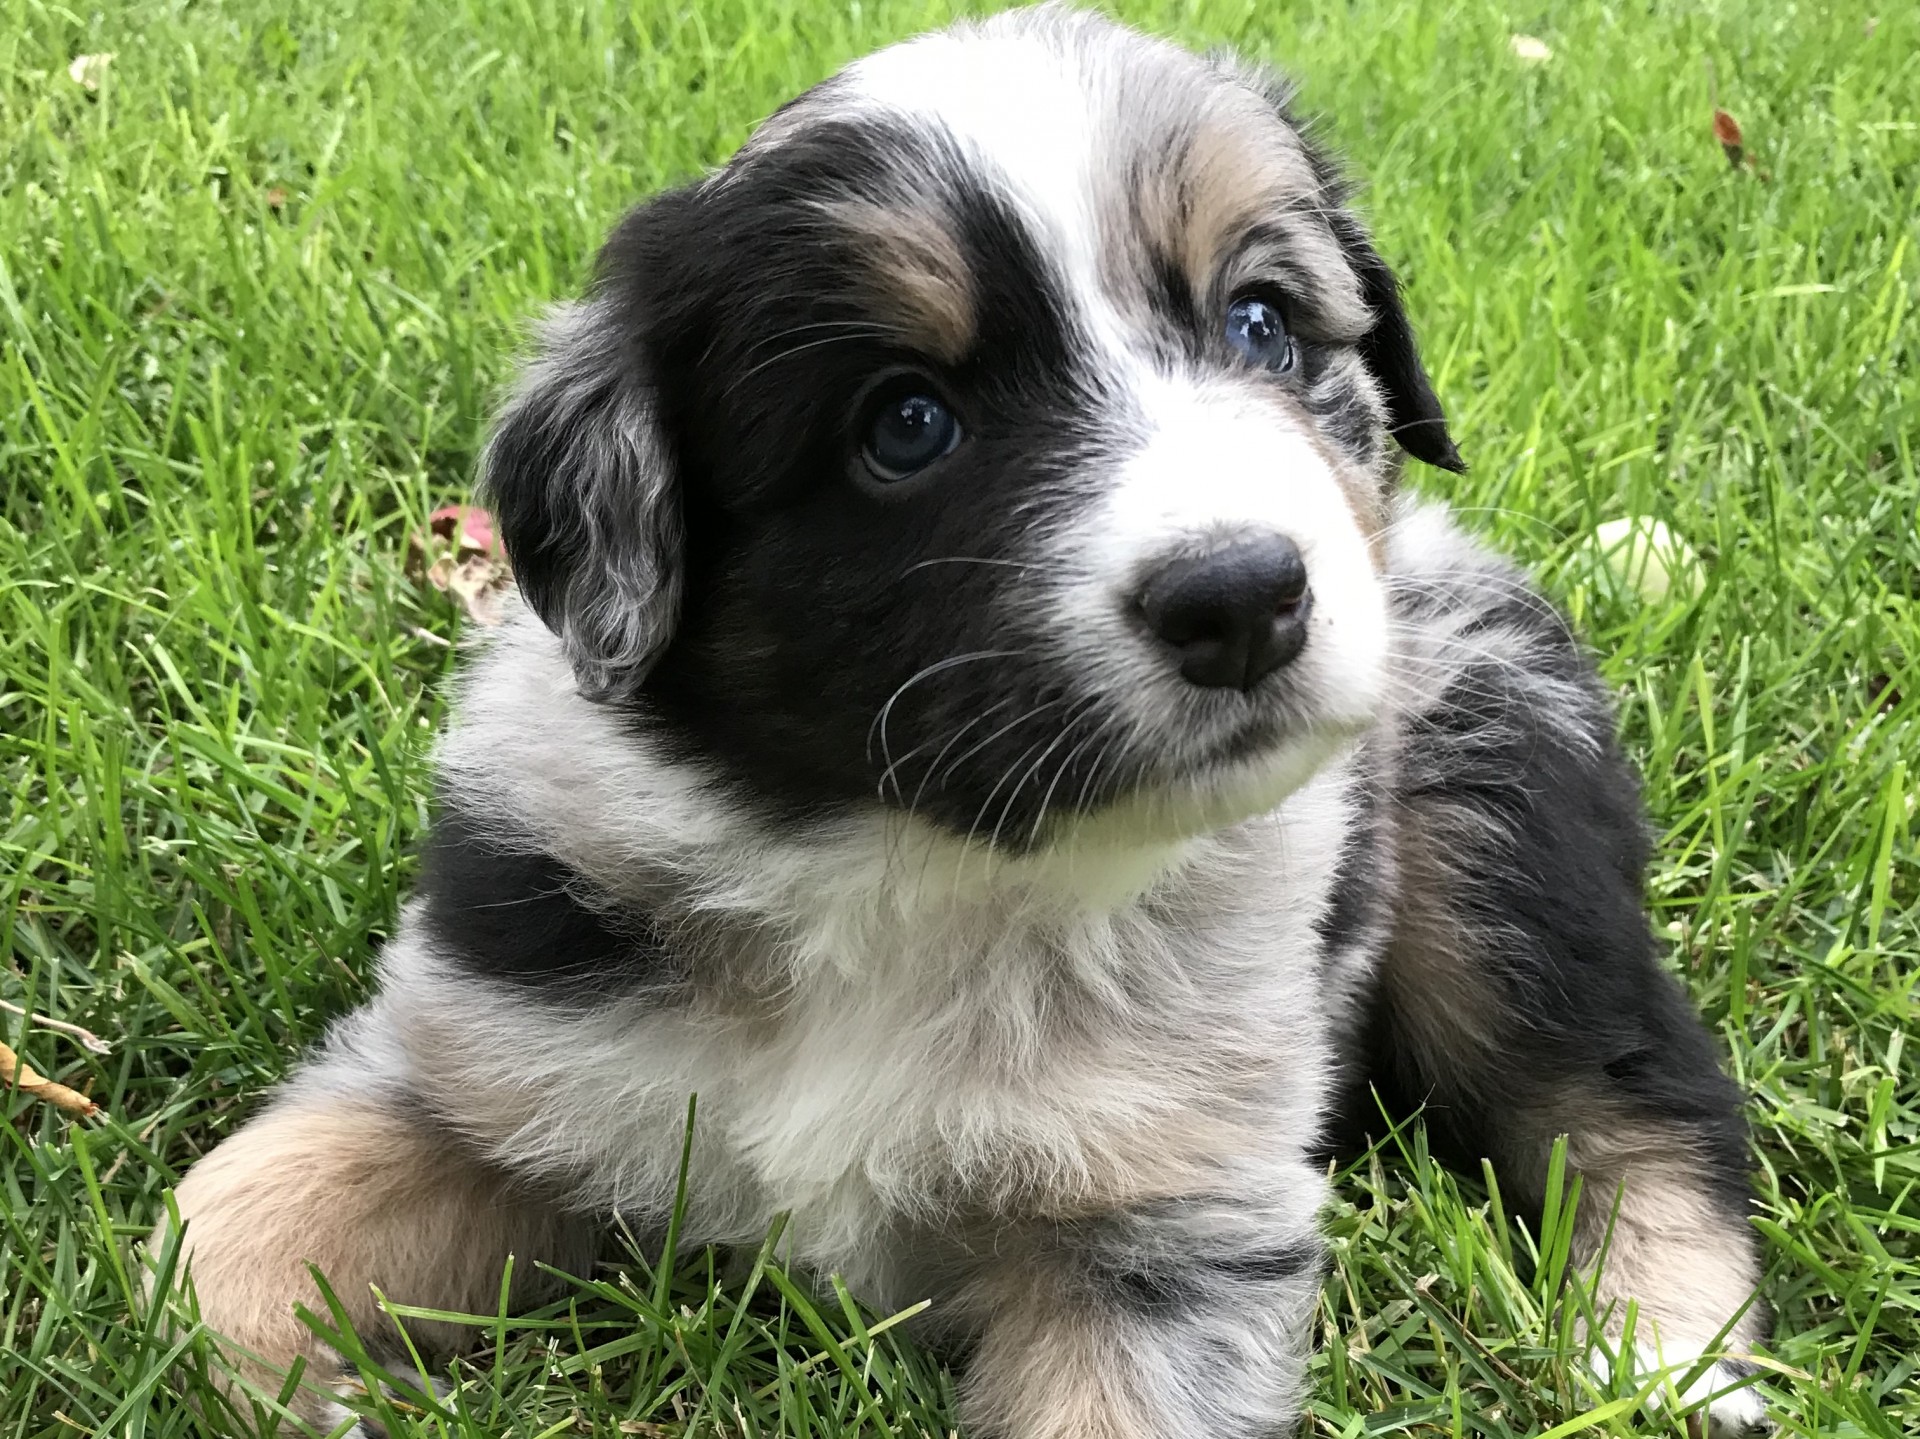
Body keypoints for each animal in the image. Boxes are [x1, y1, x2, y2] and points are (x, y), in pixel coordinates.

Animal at [157, 5, 1774, 1429]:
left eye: (1261, 322)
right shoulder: (487, 1060)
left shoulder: (1157, 1221)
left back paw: (1666, 1365)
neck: (900, 856)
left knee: (1633, 1098)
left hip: (1492, 800)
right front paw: (336, 1397)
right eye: (907, 423)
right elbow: (208, 1226)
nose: (1246, 596)